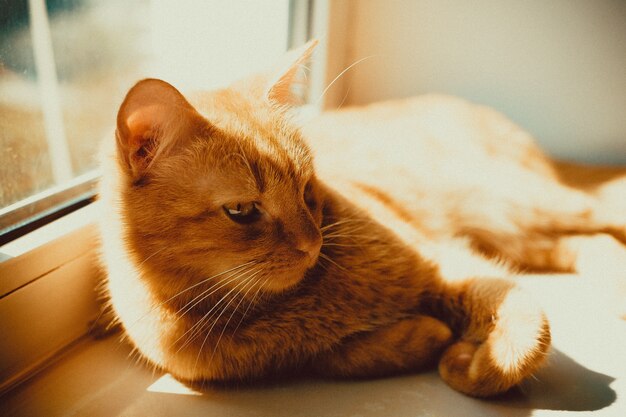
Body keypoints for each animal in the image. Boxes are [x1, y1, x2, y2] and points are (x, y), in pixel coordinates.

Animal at [98, 42, 624, 396]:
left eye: (307, 189)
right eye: (242, 211)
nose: (311, 245)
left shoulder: (447, 264)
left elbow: (525, 334)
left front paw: (469, 363)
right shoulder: (301, 356)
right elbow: (343, 356)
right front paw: (427, 336)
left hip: (522, 203)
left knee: (606, 218)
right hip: (519, 230)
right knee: (591, 244)